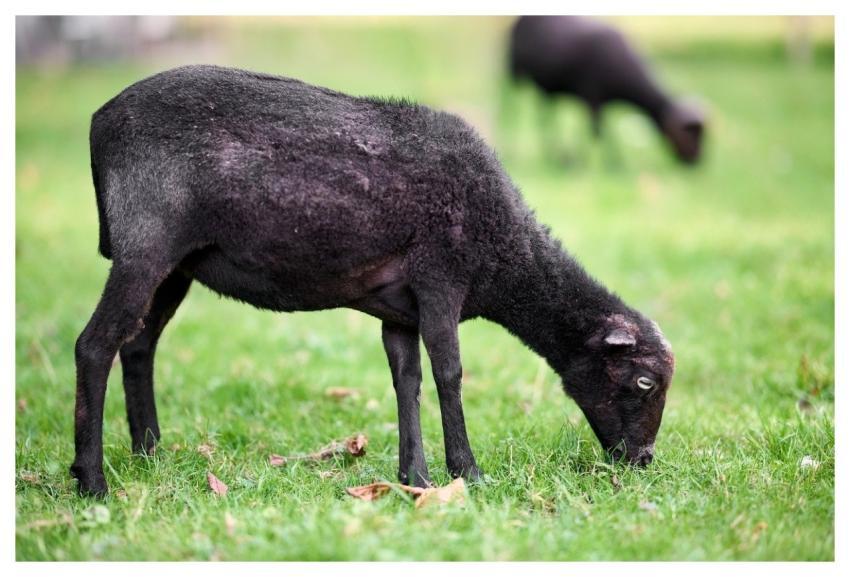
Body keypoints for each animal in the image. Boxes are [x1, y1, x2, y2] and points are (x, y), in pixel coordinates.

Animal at [72, 65, 675, 496]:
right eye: (645, 382)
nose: (641, 462)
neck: (507, 254)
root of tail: (99, 122)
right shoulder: (439, 281)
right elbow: (450, 375)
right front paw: (468, 473)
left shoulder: (397, 310)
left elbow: (406, 380)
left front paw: (416, 479)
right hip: (146, 244)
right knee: (94, 346)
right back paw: (91, 480)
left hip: (175, 265)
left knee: (138, 345)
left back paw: (148, 453)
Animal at [508, 15, 705, 164]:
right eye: (688, 137)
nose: (695, 164)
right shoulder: (592, 96)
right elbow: (597, 132)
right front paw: (604, 163)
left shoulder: (597, 101)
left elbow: (602, 130)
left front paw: (613, 161)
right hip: (515, 71)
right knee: (514, 108)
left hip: (547, 88)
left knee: (545, 117)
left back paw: (555, 154)